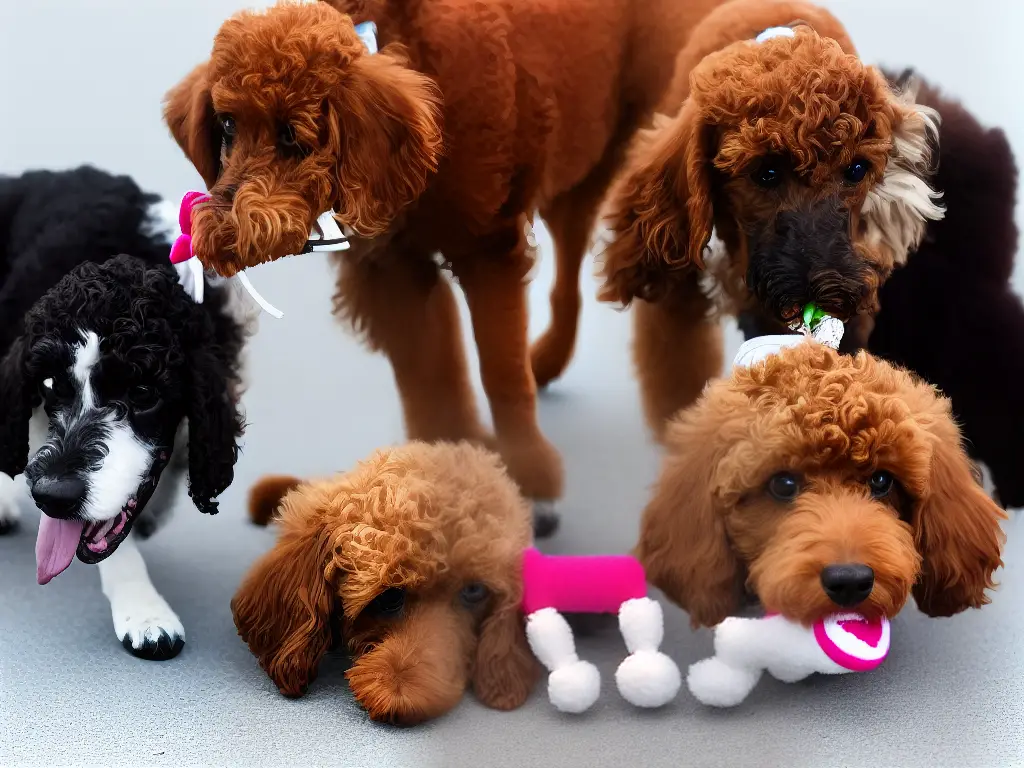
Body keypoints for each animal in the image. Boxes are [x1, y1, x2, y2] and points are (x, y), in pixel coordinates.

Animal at [163, 0, 729, 528]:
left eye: (291, 134)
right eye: (227, 124)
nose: (215, 230)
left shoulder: (489, 246)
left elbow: (501, 371)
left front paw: (530, 476)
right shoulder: (393, 268)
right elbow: (432, 377)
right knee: (569, 274)